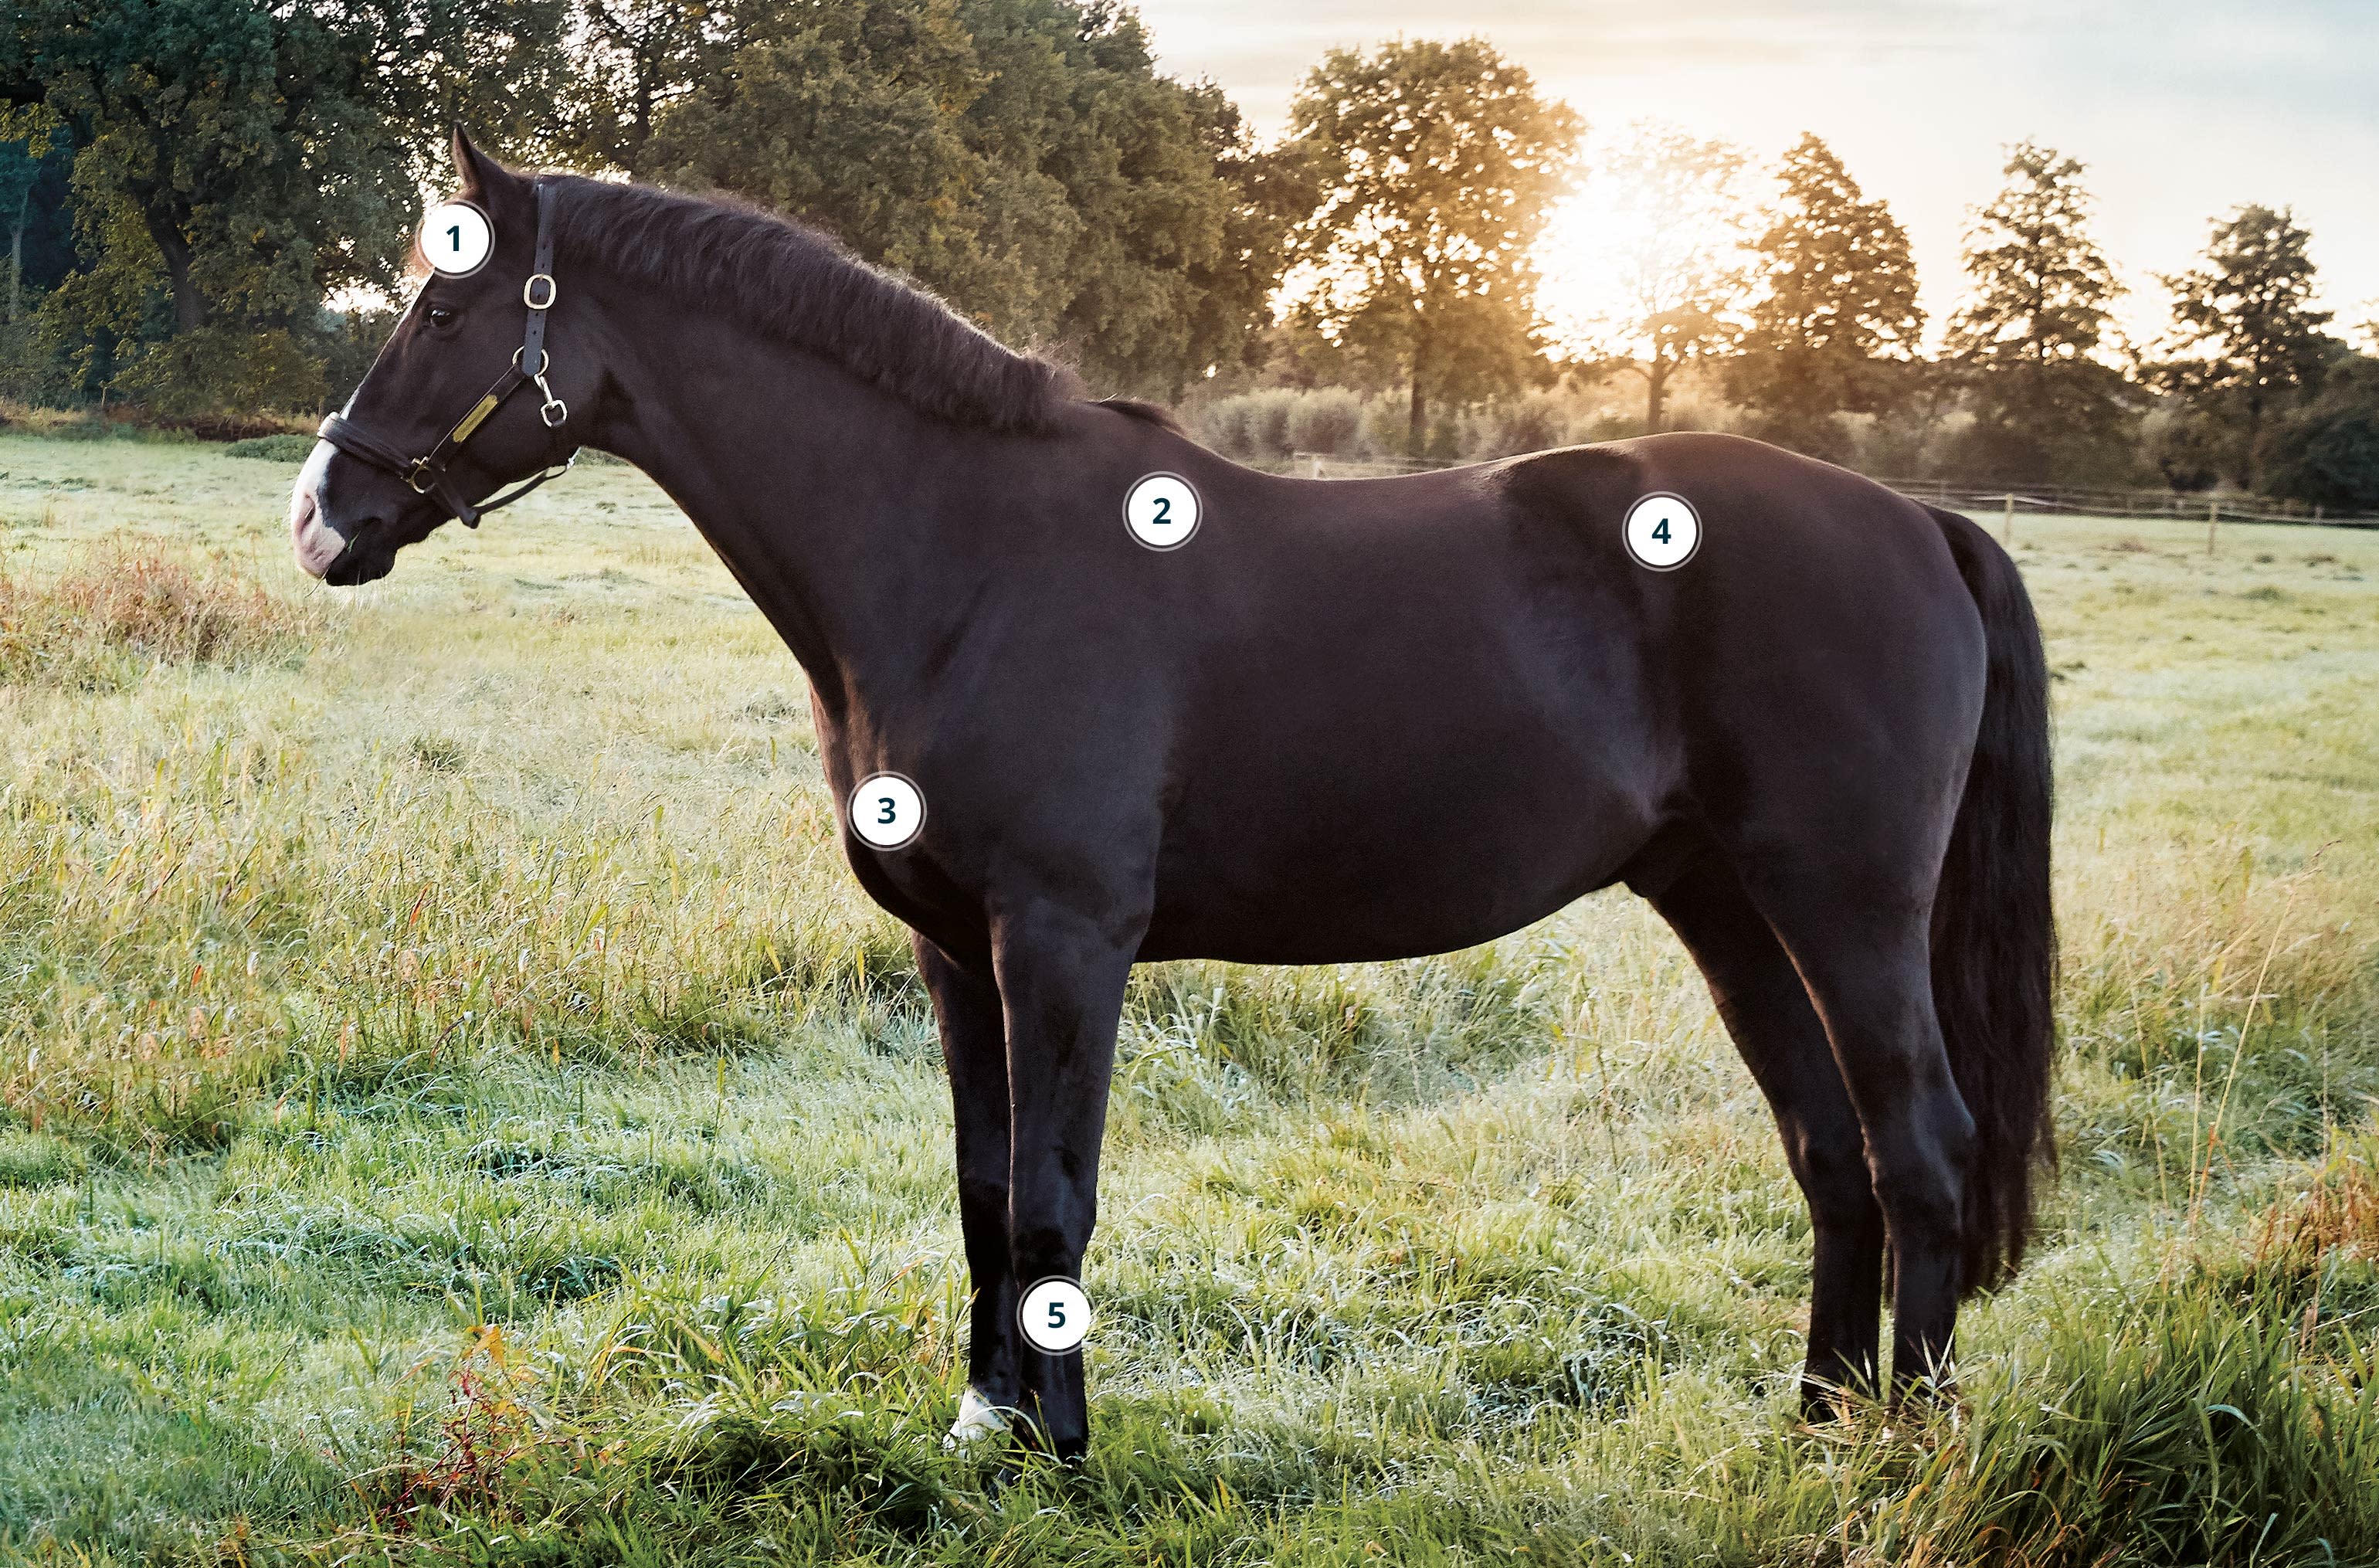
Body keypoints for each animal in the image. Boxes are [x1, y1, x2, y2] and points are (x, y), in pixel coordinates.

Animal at [291, 128, 2055, 1461]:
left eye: (440, 310)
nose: (321, 516)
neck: (966, 559)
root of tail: (1922, 522)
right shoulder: (955, 948)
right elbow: (984, 1189)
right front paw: (985, 1422)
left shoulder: (1066, 938)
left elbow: (1053, 1202)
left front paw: (1062, 1449)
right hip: (1726, 905)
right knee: (1830, 1152)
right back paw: (1819, 1416)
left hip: (1845, 910)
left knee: (1919, 1149)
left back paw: (1903, 1442)